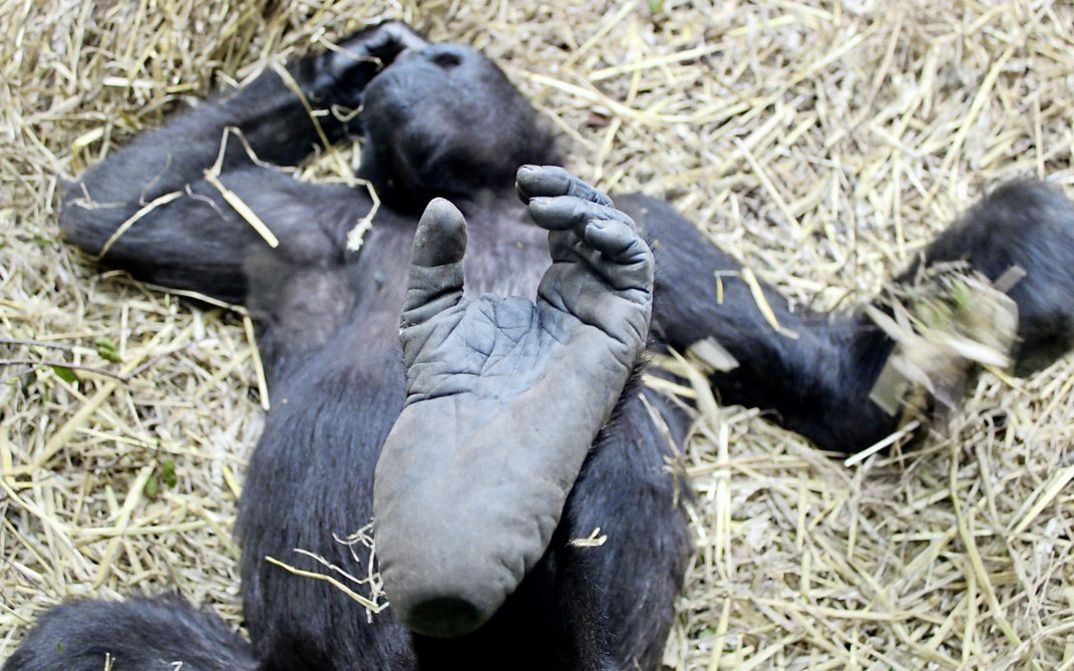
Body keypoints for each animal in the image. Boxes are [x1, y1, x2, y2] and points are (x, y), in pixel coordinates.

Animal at [7, 19, 1074, 671]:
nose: (427, 58)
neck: (478, 198)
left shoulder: (657, 227)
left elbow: (845, 390)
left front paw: (1002, 271)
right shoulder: (305, 226)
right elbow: (112, 206)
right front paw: (342, 63)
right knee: (92, 637)